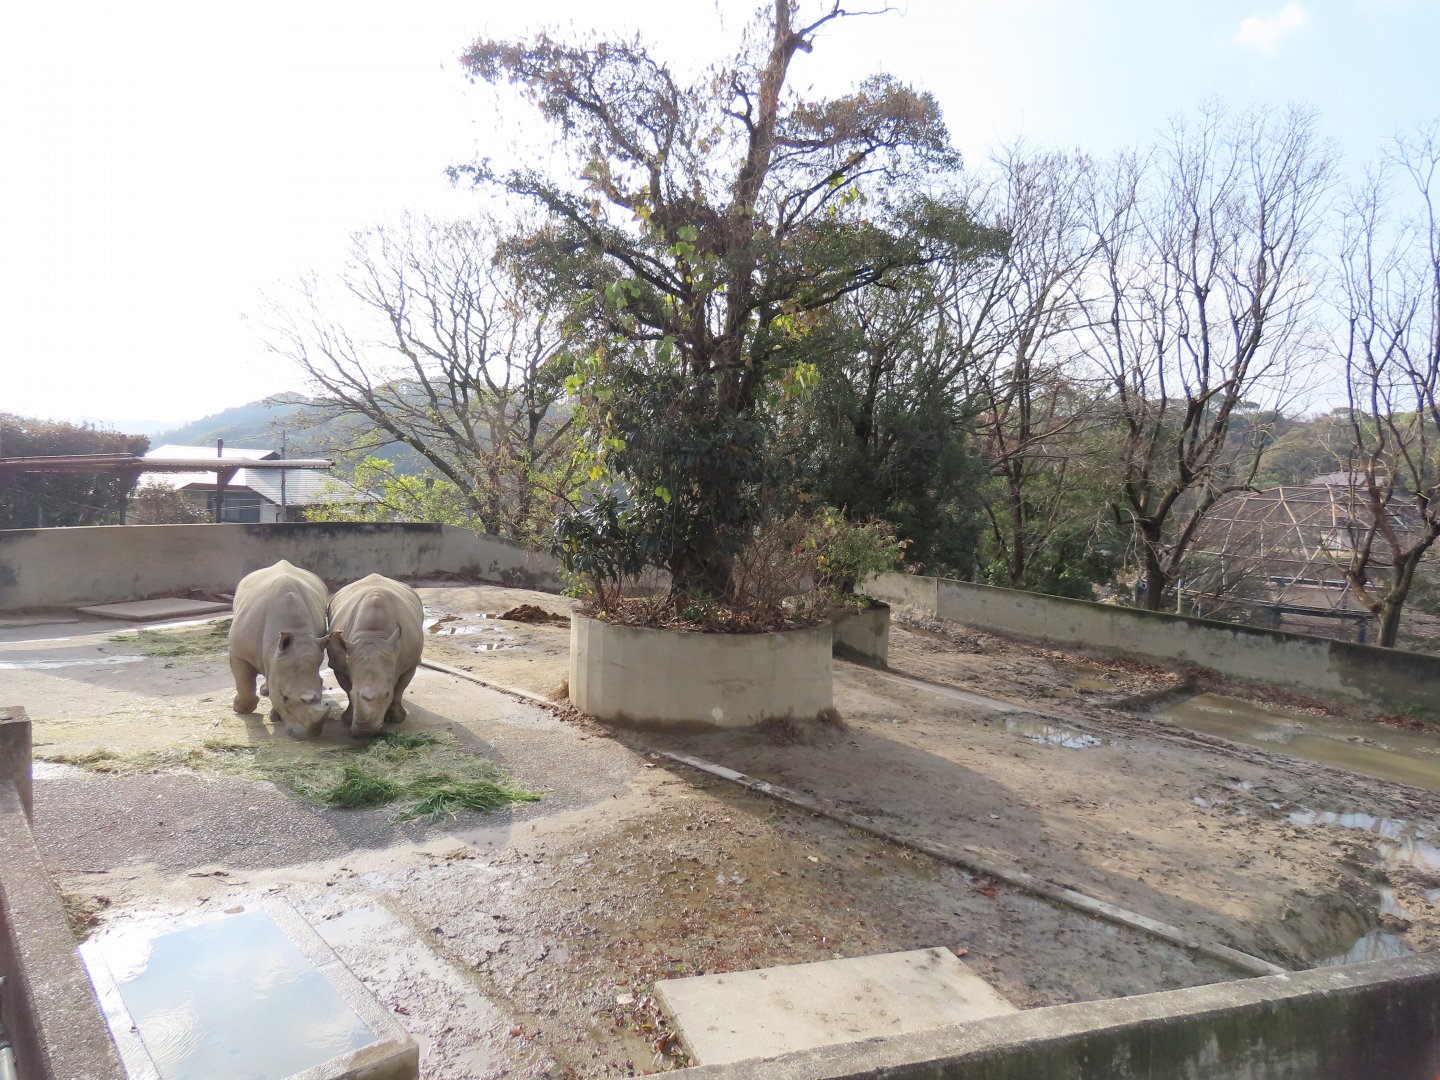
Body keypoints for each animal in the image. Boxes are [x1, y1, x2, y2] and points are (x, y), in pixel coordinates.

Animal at [229, 560, 332, 736]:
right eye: (285, 697)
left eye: (319, 696)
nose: (310, 734)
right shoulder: (238, 653)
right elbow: (243, 681)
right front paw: (241, 709)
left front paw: (276, 716)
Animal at [326, 574, 425, 738]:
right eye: (353, 692)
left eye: (386, 694)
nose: (364, 732)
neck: (372, 635)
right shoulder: (339, 664)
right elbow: (347, 691)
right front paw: (347, 719)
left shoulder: (410, 663)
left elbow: (399, 690)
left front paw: (397, 719)